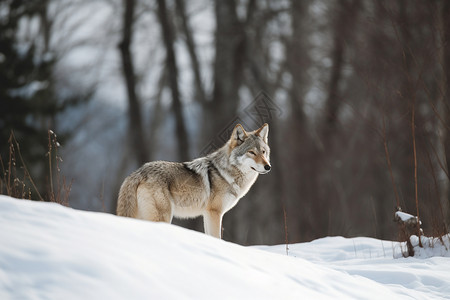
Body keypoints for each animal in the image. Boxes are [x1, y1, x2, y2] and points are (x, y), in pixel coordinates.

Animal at [116, 123, 270, 238]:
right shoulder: (214, 213)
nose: (268, 167)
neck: (226, 173)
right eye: (251, 152)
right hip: (163, 217)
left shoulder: (207, 214)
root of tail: (137, 173)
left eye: (263, 152)